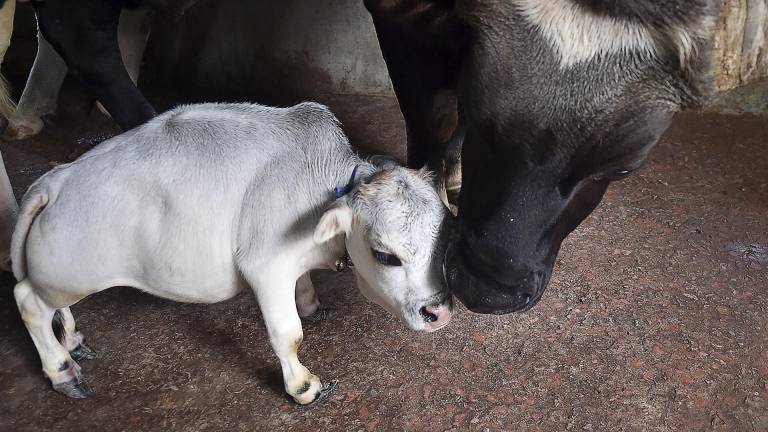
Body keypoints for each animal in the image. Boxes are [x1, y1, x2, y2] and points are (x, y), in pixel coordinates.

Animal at [12, 101, 452, 404]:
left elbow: (304, 288)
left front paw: (311, 303)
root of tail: (55, 180)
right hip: (71, 274)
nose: (440, 312)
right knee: (28, 300)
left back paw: (70, 339)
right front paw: (303, 387)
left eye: (443, 242)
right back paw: (62, 371)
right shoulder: (266, 265)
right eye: (385, 255)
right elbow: (288, 334)